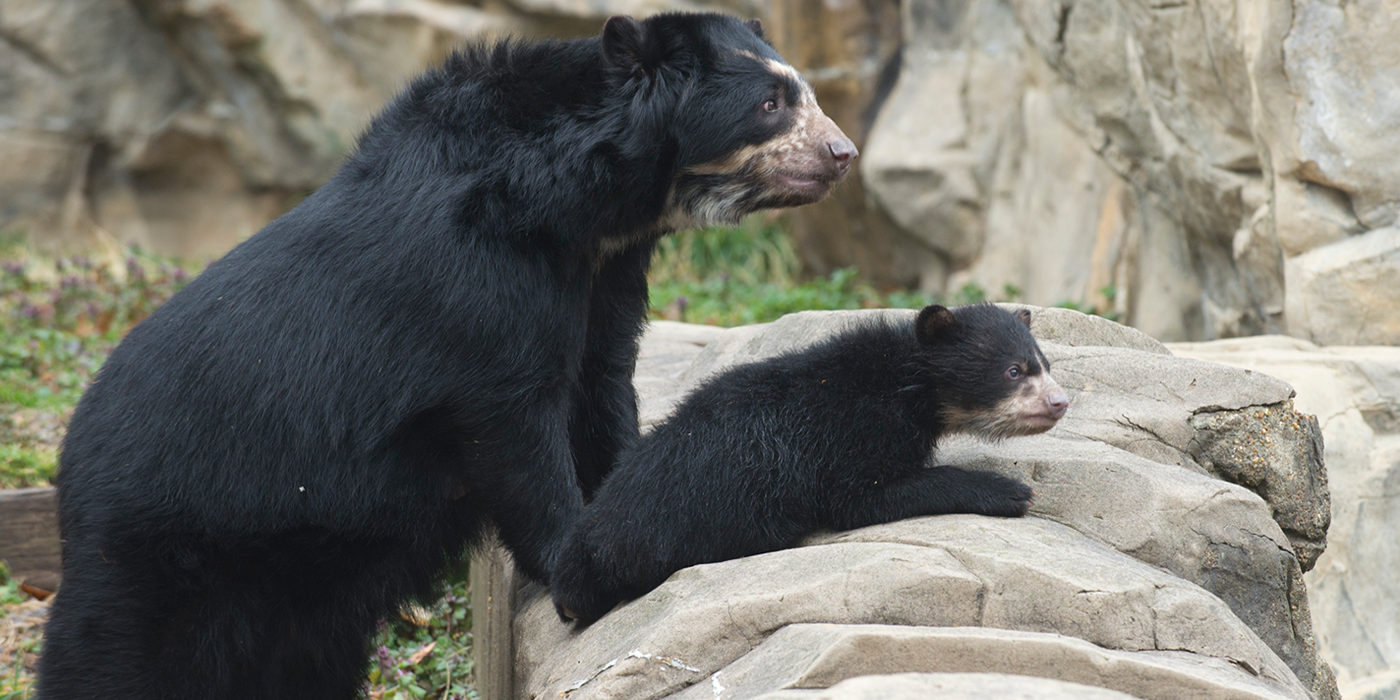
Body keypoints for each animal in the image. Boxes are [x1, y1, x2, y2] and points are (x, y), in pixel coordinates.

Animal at [38, 12, 856, 700]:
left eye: (807, 96)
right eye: (771, 104)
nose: (842, 153)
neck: (583, 204)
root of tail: (69, 462)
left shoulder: (605, 275)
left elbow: (602, 385)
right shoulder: (480, 282)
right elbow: (518, 424)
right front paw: (574, 570)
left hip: (300, 580)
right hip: (167, 548)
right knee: (116, 660)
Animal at [548, 303, 1069, 621]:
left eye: (1044, 364)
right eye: (1014, 371)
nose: (1060, 402)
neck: (911, 385)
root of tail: (584, 546)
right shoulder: (854, 429)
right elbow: (862, 496)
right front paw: (1009, 491)